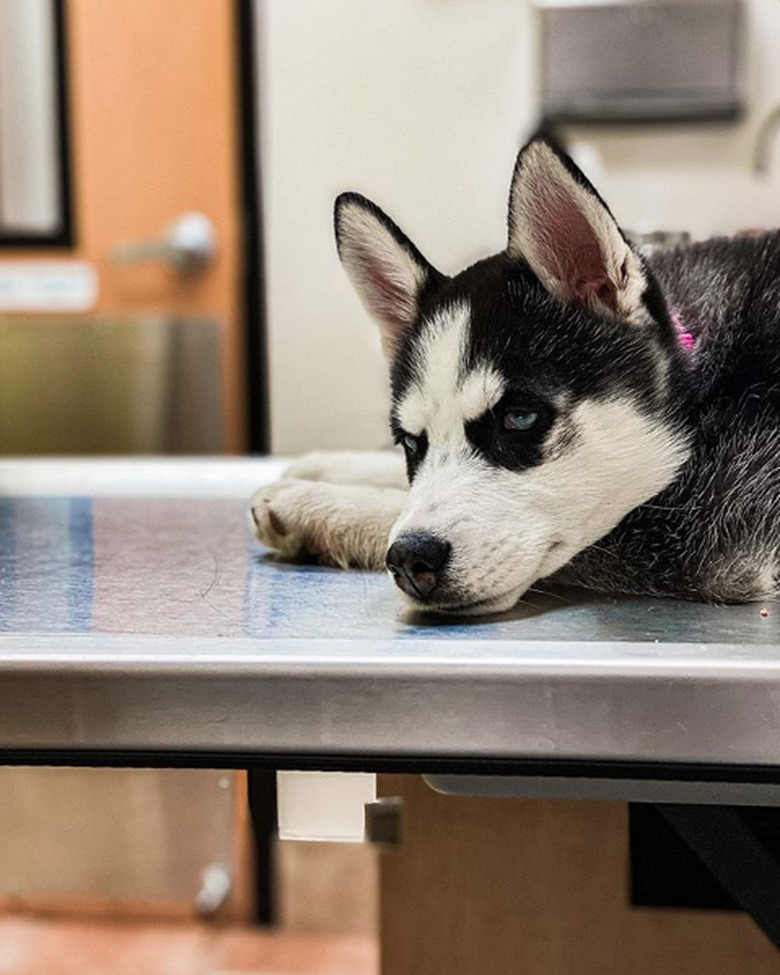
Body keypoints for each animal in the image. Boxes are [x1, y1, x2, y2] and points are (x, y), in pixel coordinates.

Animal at [251, 135, 780, 616]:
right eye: (409, 443)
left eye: (520, 419)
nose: (410, 559)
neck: (706, 383)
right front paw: (325, 466)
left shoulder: (705, 536)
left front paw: (317, 505)